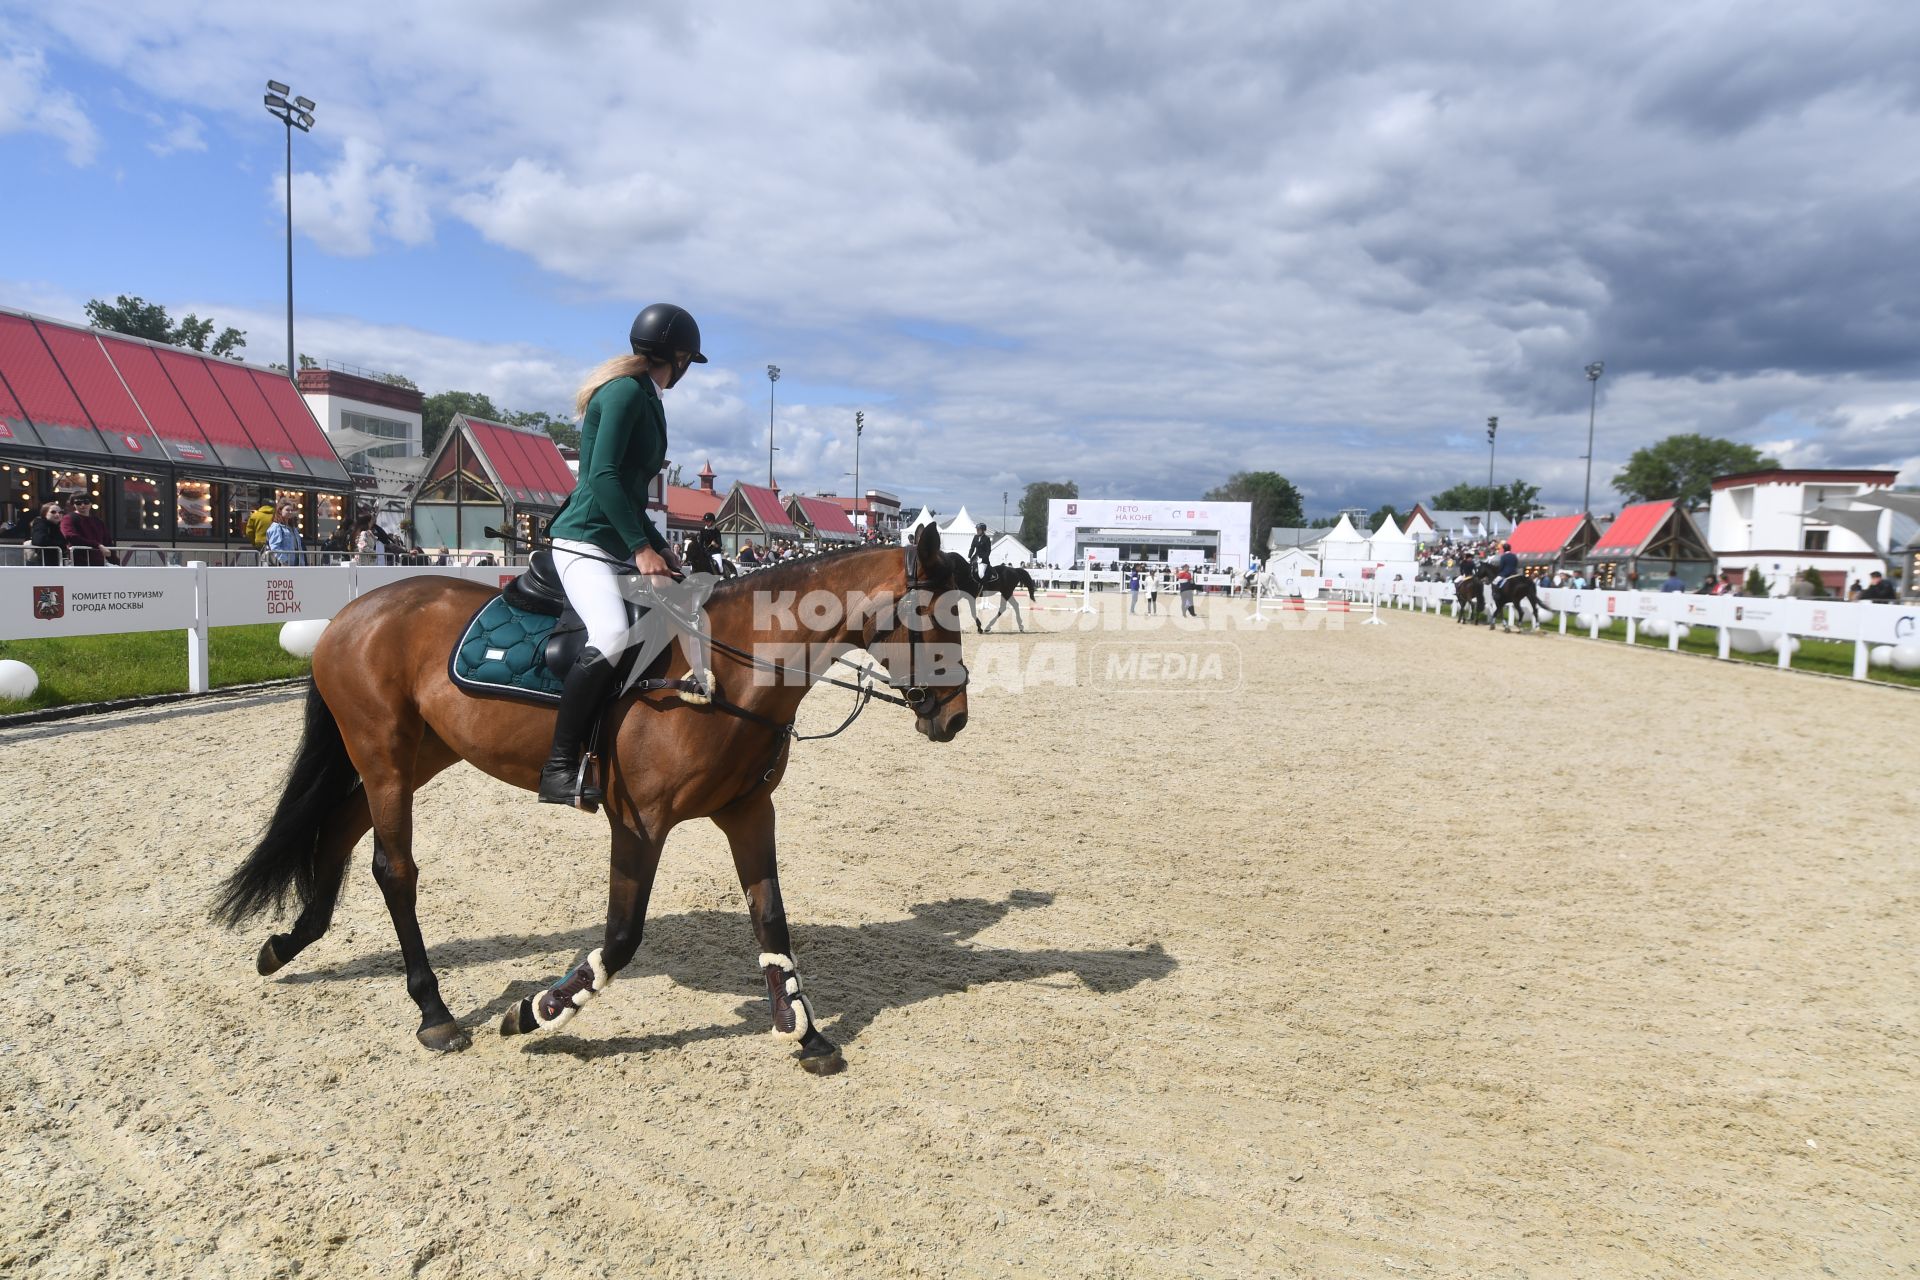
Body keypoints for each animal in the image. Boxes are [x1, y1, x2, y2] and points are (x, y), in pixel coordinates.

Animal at [219, 521, 975, 1074]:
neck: (725, 672)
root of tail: (352, 612)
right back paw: (433, 1013)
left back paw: (286, 945)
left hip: (418, 753)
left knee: (341, 829)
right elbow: (621, 934)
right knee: (393, 870)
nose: (956, 718)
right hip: (383, 754)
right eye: (930, 614)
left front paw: (802, 1029)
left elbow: (771, 920)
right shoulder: (640, 824)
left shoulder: (748, 812)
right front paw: (538, 1011)